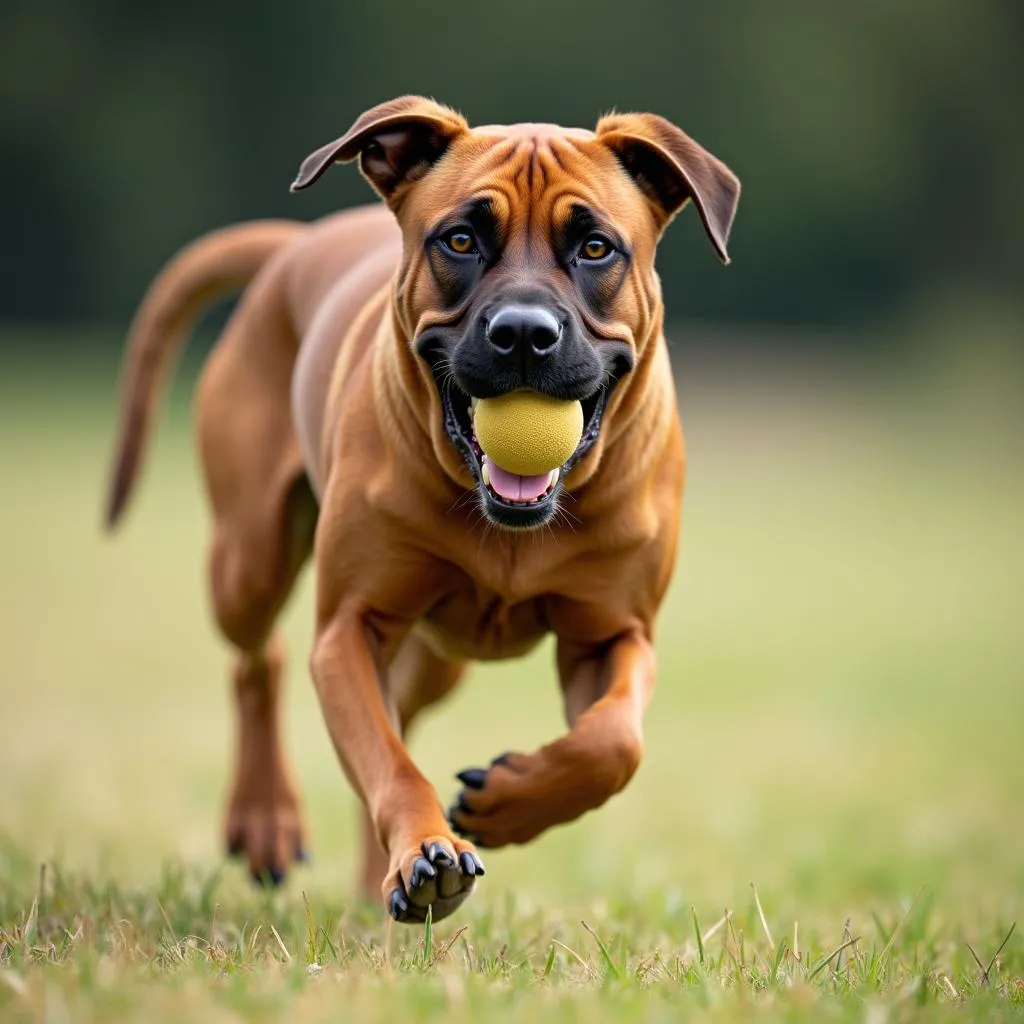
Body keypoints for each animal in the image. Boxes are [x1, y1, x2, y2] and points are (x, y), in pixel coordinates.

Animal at [108, 96, 741, 925]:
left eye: (597, 246)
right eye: (461, 239)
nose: (524, 335)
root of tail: (296, 247)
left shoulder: (613, 633)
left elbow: (613, 743)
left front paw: (509, 802)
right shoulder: (349, 629)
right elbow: (389, 762)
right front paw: (426, 852)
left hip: (439, 659)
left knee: (396, 710)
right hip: (248, 560)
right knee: (261, 658)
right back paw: (269, 820)